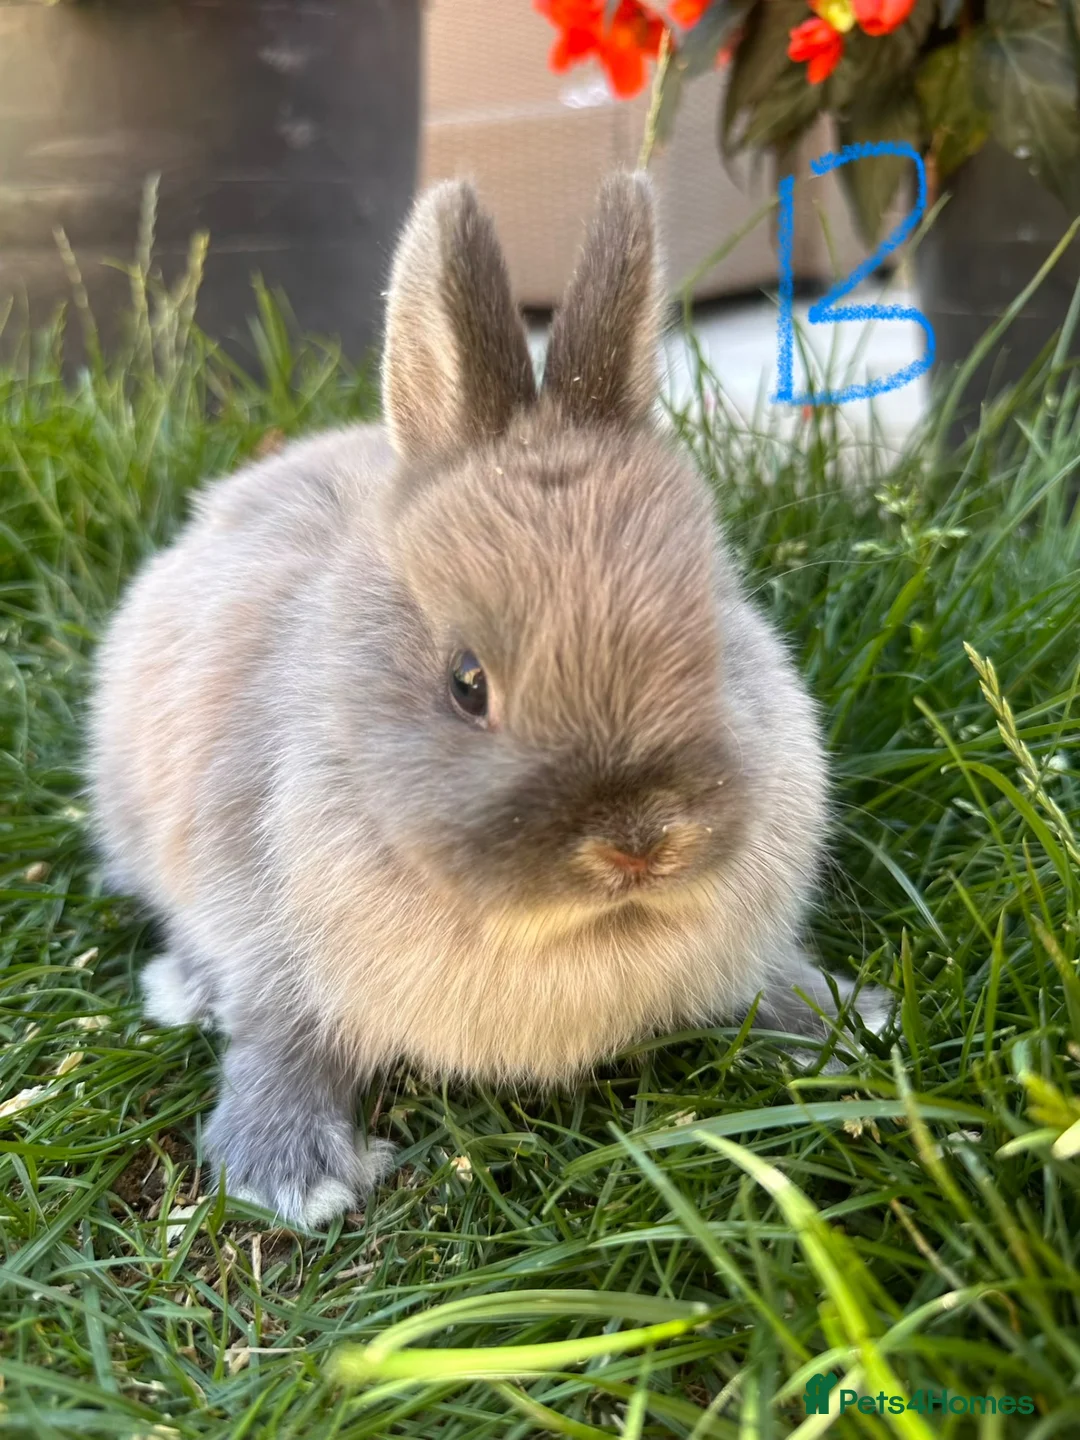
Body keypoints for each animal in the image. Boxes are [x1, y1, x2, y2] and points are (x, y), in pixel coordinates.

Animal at [88, 171, 889, 1229]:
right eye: (468, 683)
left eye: (718, 642)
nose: (639, 842)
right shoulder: (257, 918)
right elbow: (279, 1037)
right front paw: (290, 1176)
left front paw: (850, 1020)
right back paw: (185, 990)